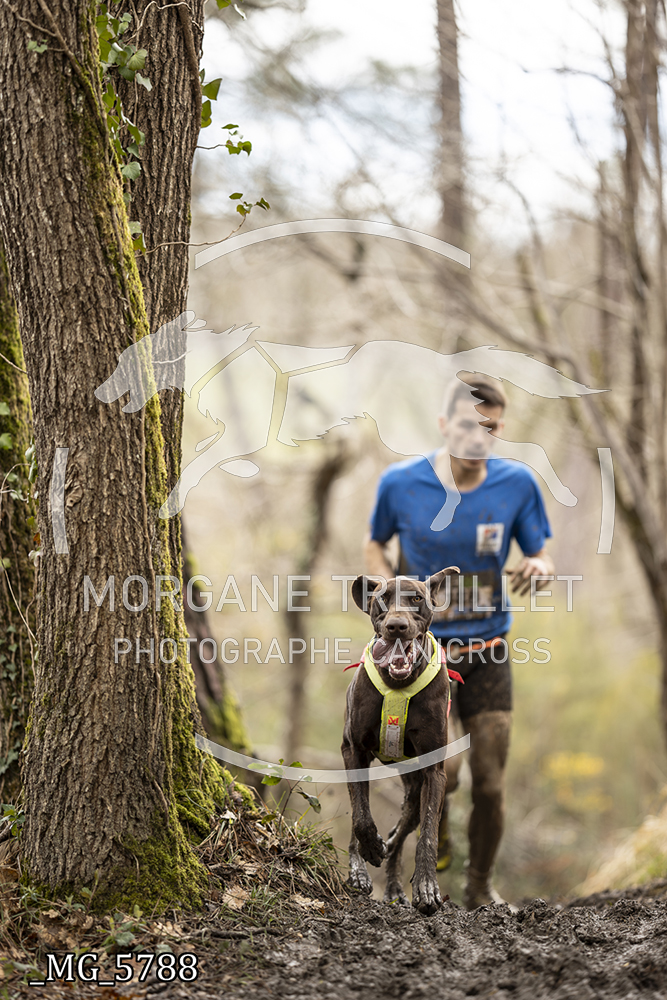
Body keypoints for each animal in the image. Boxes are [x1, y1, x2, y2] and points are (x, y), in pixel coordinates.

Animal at [342, 567, 459, 915]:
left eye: (417, 599)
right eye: (381, 600)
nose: (396, 626)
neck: (398, 683)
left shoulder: (435, 772)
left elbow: (428, 833)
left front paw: (427, 886)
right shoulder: (354, 751)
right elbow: (361, 815)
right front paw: (367, 850)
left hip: (417, 782)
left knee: (405, 827)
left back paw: (393, 881)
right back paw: (363, 865)